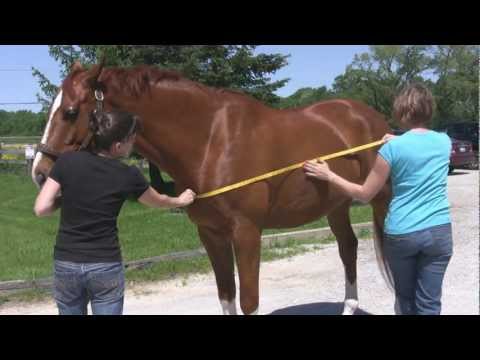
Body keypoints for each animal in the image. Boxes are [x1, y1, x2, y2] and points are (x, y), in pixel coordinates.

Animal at [31, 60, 392, 314]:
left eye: (70, 112)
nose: (40, 173)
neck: (212, 141)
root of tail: (371, 117)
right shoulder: (211, 234)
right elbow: (225, 296)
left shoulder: (247, 233)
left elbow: (248, 301)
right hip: (337, 205)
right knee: (348, 248)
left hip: (382, 201)